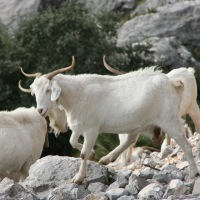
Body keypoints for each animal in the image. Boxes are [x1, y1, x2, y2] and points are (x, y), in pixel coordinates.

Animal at [18, 56, 198, 184]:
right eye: (34, 92)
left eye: (48, 90)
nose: (40, 110)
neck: (77, 95)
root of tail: (172, 82)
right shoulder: (79, 126)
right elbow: (72, 142)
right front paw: (93, 154)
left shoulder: (91, 130)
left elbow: (82, 154)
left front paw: (78, 178)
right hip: (140, 123)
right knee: (131, 139)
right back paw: (107, 158)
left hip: (169, 119)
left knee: (185, 144)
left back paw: (193, 173)